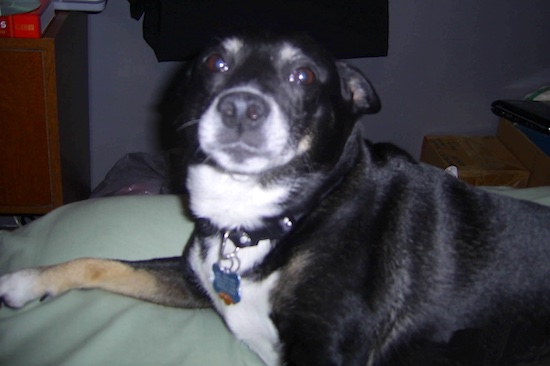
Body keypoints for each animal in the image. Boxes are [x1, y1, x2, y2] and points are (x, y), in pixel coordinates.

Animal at [1, 34, 550, 366]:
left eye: (302, 76)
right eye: (216, 62)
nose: (241, 107)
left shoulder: (322, 350)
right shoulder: (195, 280)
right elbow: (104, 264)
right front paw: (28, 281)